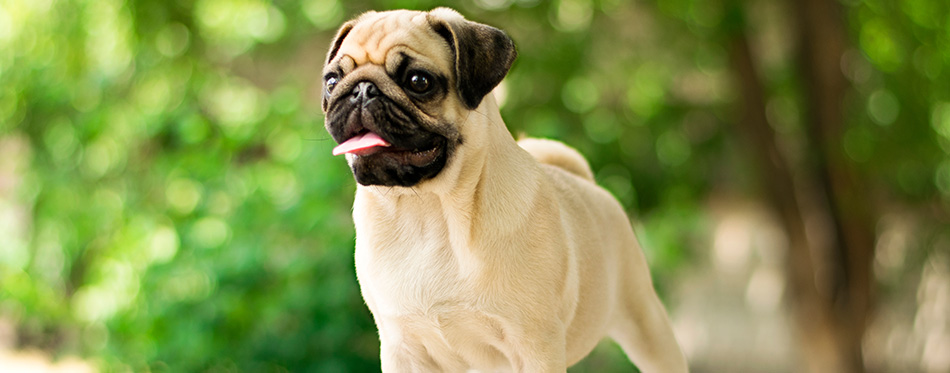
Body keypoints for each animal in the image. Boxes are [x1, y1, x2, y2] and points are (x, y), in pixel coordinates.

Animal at [324, 7, 688, 370]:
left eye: (418, 82)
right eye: (331, 82)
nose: (362, 90)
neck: (426, 210)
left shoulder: (536, 345)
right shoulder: (402, 348)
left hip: (646, 324)